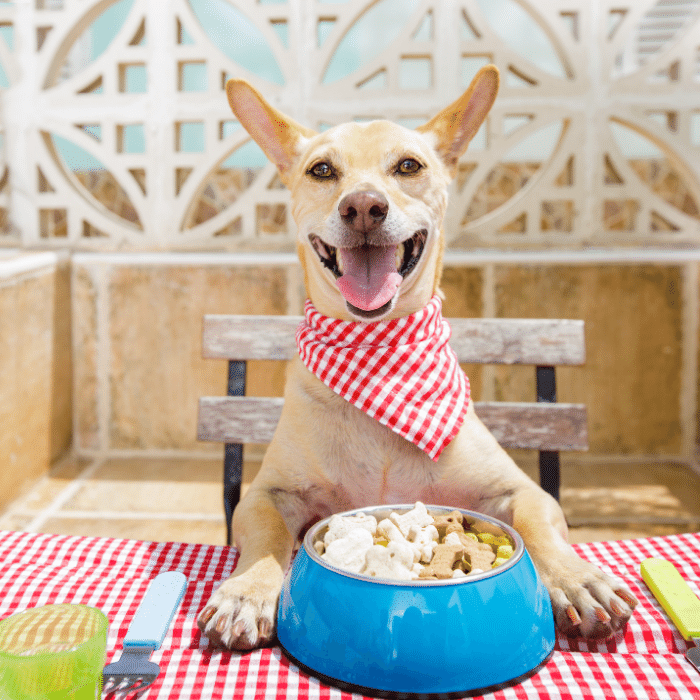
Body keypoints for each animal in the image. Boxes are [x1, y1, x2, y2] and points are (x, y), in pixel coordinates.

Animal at [198, 67, 640, 652]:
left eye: (408, 165)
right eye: (322, 170)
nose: (363, 207)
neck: (379, 355)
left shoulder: (521, 491)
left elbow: (538, 524)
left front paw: (576, 578)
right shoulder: (267, 494)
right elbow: (268, 534)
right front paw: (247, 590)